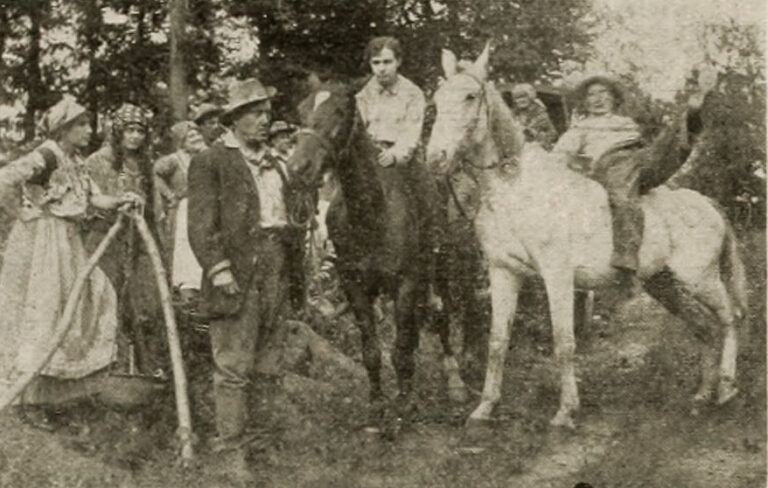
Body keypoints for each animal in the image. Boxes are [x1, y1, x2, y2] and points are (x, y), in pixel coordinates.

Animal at [287, 80, 469, 429]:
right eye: (301, 110)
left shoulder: (406, 283)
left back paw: (455, 382)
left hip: (438, 265)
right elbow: (372, 350)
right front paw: (378, 406)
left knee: (440, 312)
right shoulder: (355, 287)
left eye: (340, 111)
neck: (371, 214)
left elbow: (399, 348)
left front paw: (405, 405)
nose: (297, 168)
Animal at [426, 45, 747, 429]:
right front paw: (484, 409)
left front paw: (565, 412)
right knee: (705, 329)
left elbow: (564, 342)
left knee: (729, 319)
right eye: (437, 98)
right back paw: (701, 396)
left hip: (700, 278)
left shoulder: (558, 277)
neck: (517, 190)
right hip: (663, 284)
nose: (435, 158)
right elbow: (497, 341)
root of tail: (707, 203)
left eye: (470, 96)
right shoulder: (504, 272)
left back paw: (726, 390)